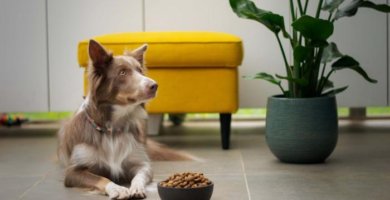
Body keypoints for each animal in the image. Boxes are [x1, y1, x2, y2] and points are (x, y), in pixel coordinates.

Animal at [57, 39, 191, 199]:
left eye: (140, 70)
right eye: (122, 72)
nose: (155, 85)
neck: (113, 129)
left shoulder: (141, 163)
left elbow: (139, 176)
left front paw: (136, 188)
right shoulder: (73, 172)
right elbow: (101, 178)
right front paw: (117, 188)